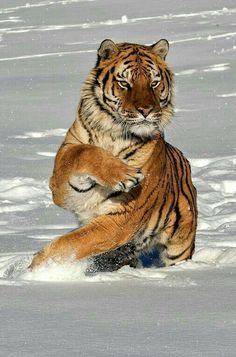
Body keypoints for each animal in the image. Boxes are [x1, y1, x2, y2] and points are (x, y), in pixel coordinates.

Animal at [29, 38, 197, 270]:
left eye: (154, 83)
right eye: (125, 83)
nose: (146, 110)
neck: (113, 134)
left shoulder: (122, 218)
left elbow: (73, 242)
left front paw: (38, 269)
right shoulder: (65, 189)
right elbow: (83, 152)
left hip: (179, 246)